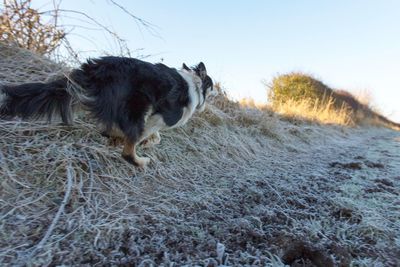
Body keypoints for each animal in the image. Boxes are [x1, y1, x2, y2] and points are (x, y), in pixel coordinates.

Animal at [0, 57, 214, 168]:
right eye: (212, 85)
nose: (216, 92)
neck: (194, 83)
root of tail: (100, 68)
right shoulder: (164, 117)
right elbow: (150, 133)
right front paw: (143, 142)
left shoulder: (155, 117)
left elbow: (154, 136)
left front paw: (145, 141)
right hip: (138, 105)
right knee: (127, 151)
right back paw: (139, 160)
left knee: (108, 129)